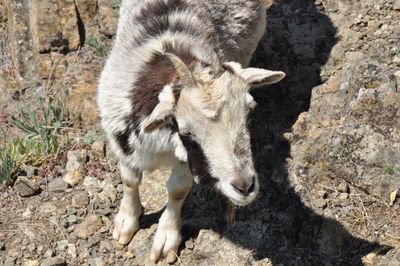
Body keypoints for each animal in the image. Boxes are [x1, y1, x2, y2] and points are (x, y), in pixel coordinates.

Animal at [97, 0, 284, 262]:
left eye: (250, 112)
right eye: (186, 132)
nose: (245, 187)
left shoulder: (187, 158)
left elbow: (177, 190)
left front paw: (166, 238)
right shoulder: (122, 139)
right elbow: (130, 180)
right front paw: (126, 222)